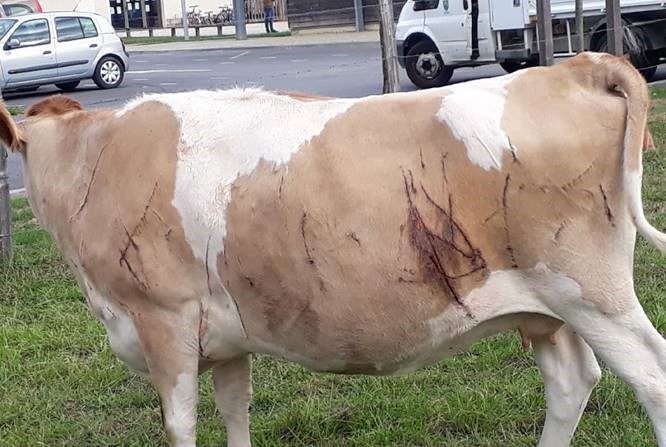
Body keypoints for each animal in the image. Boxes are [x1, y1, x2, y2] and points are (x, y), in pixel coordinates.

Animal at [1, 51, 664, 444]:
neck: (94, 158)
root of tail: (572, 66)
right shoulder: (225, 335)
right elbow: (235, 410)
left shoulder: (163, 319)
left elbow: (180, 423)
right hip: (547, 306)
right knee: (572, 381)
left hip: (590, 291)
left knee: (650, 377)